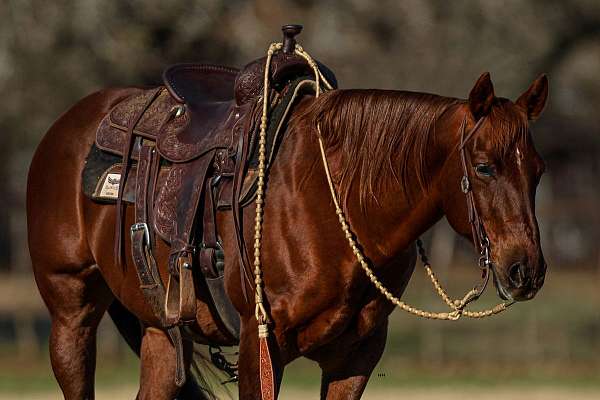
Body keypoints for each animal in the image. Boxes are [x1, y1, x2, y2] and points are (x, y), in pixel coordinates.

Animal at [25, 71, 548, 396]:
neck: (334, 204)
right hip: (71, 314)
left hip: (159, 330)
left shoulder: (355, 358)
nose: (526, 270)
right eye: (484, 167)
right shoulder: (260, 347)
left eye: (538, 171)